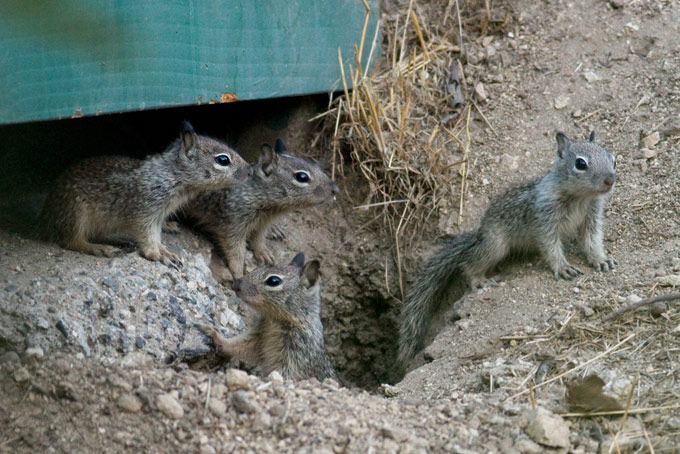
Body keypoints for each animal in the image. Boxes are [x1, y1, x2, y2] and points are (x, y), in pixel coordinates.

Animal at [38, 122, 250, 268]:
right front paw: (157, 254)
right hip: (75, 214)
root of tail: (45, 215)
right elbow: (147, 236)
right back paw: (100, 248)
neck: (171, 175)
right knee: (70, 240)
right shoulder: (144, 212)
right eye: (223, 160)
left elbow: (156, 235)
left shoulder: (158, 217)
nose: (250, 170)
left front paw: (164, 250)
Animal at [185, 138, 338, 280]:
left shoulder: (262, 225)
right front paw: (238, 273)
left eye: (316, 165)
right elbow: (236, 251)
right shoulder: (232, 226)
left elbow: (258, 240)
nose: (336, 189)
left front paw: (264, 254)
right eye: (302, 176)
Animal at [197, 254, 338, 382]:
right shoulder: (258, 337)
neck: (276, 321)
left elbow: (285, 375)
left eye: (274, 281)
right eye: (257, 267)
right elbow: (239, 345)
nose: (236, 283)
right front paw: (216, 336)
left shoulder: (298, 353)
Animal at [398, 130, 616, 362]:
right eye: (580, 164)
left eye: (613, 159)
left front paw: (601, 260)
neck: (580, 196)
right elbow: (550, 246)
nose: (610, 180)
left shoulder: (592, 216)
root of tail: (480, 233)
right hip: (495, 246)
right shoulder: (544, 218)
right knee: (467, 264)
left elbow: (592, 240)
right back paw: (479, 280)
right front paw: (563, 267)